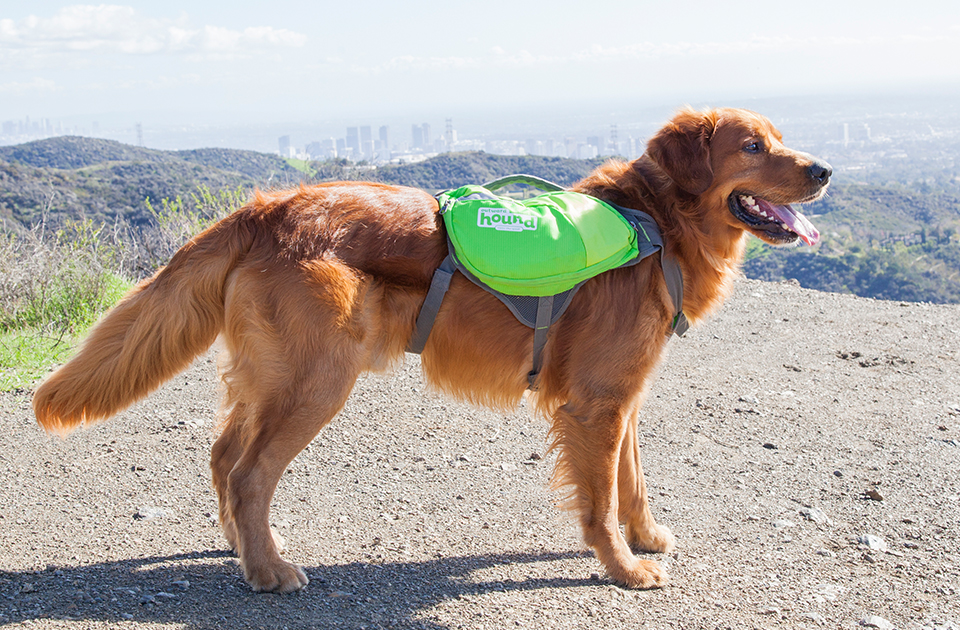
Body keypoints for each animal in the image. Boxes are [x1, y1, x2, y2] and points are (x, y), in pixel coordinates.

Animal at [35, 106, 832, 596]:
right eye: (753, 146)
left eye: (780, 137)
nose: (824, 170)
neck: (655, 220)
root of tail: (267, 208)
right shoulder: (596, 404)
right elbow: (601, 500)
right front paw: (623, 570)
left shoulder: (620, 398)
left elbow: (629, 482)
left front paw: (646, 539)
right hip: (316, 382)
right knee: (248, 472)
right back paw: (269, 571)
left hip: (273, 377)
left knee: (223, 454)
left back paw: (243, 547)